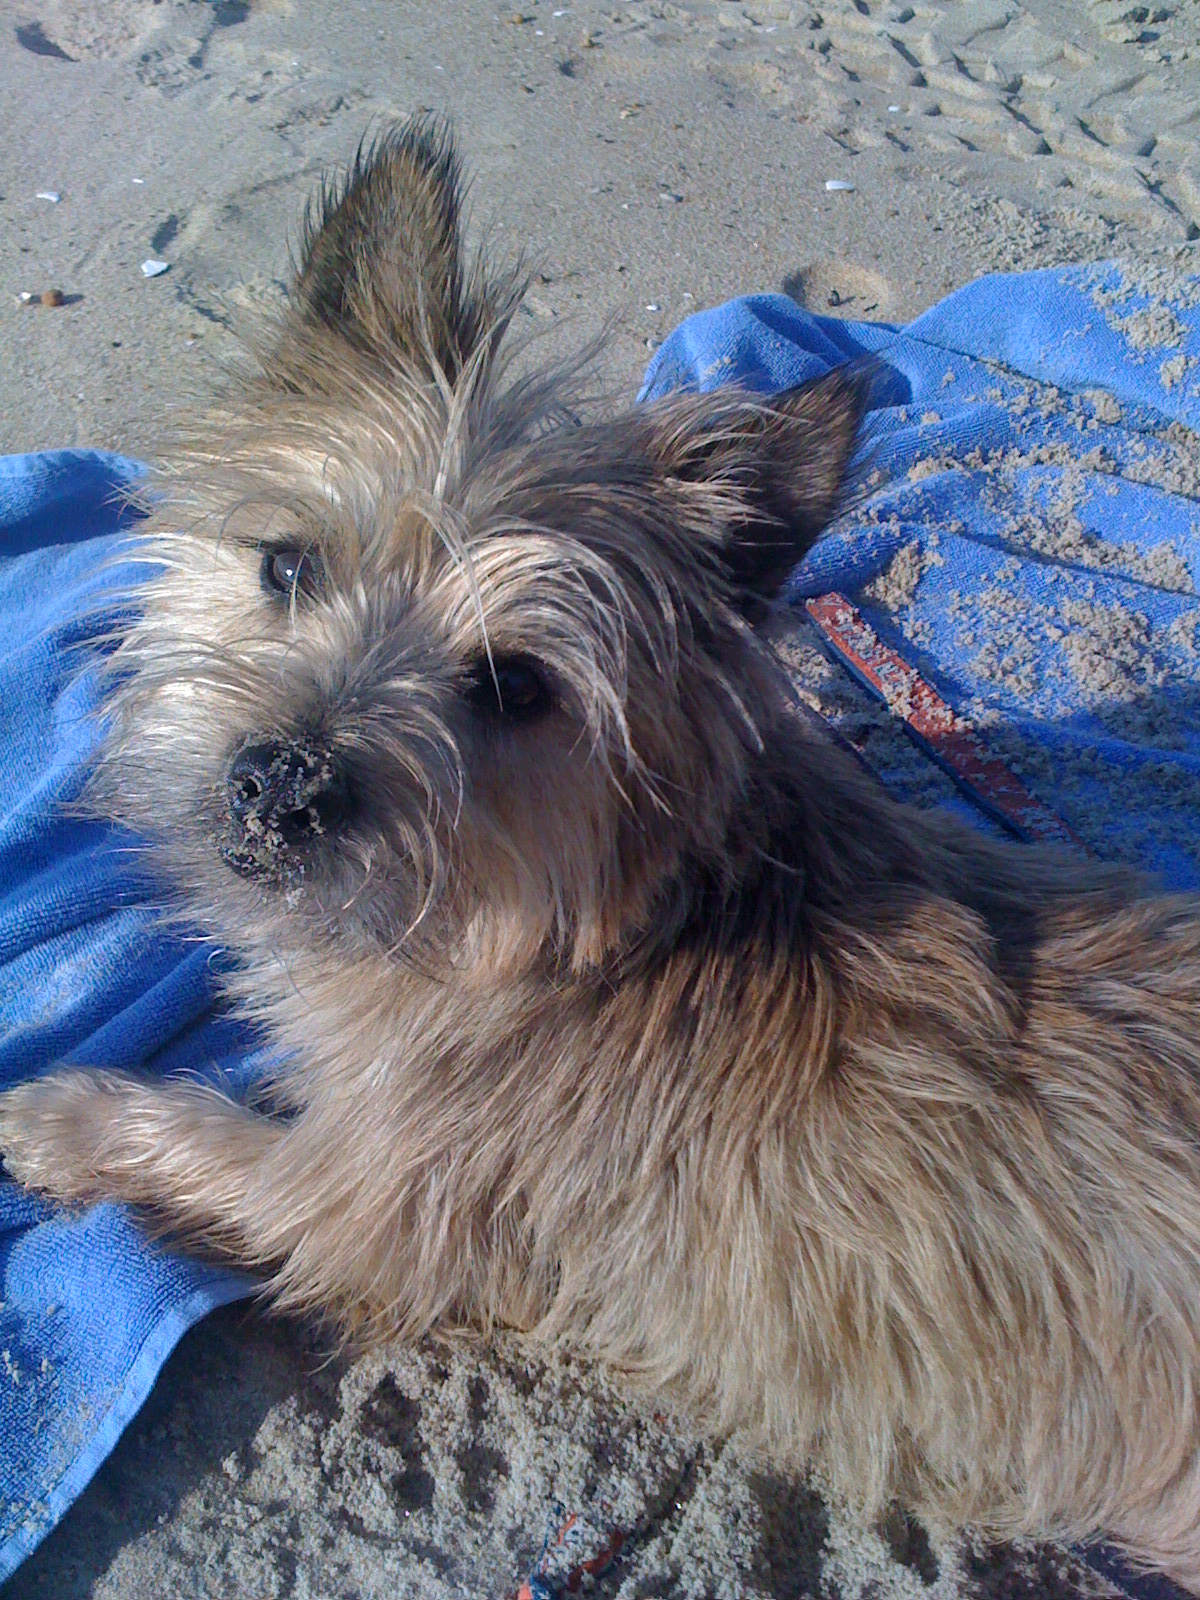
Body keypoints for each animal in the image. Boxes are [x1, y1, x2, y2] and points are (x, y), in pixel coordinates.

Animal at [4, 116, 1200, 1590]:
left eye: (513, 686)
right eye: (287, 565)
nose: (279, 782)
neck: (604, 924)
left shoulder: (354, 1196)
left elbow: (193, 1133)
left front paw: (59, 1117)